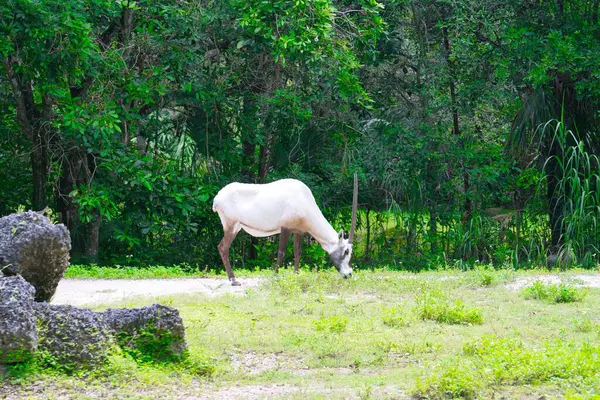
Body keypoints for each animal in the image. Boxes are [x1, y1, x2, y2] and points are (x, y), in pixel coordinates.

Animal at [213, 174, 358, 284]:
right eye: (346, 251)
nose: (349, 274)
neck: (303, 200)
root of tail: (217, 198)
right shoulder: (285, 228)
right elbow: (281, 252)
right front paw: (275, 276)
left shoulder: (298, 231)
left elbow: (297, 252)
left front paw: (296, 275)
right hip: (231, 225)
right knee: (223, 247)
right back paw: (233, 280)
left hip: (236, 226)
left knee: (221, 247)